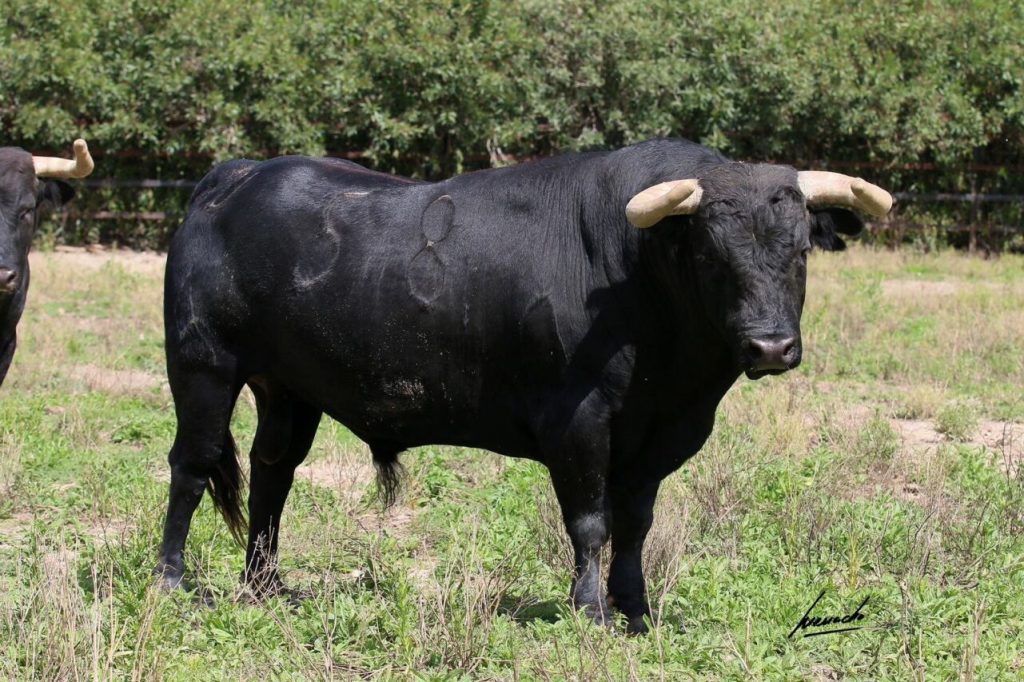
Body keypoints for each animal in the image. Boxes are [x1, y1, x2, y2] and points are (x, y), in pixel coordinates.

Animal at [153, 138, 888, 630]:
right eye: (711, 254)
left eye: (801, 251)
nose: (771, 346)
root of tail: (237, 176)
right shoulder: (578, 421)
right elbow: (589, 520)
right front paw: (590, 611)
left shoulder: (658, 434)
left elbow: (636, 523)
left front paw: (636, 609)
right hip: (203, 367)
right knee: (192, 466)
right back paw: (171, 581)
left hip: (288, 389)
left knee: (273, 472)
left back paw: (266, 585)